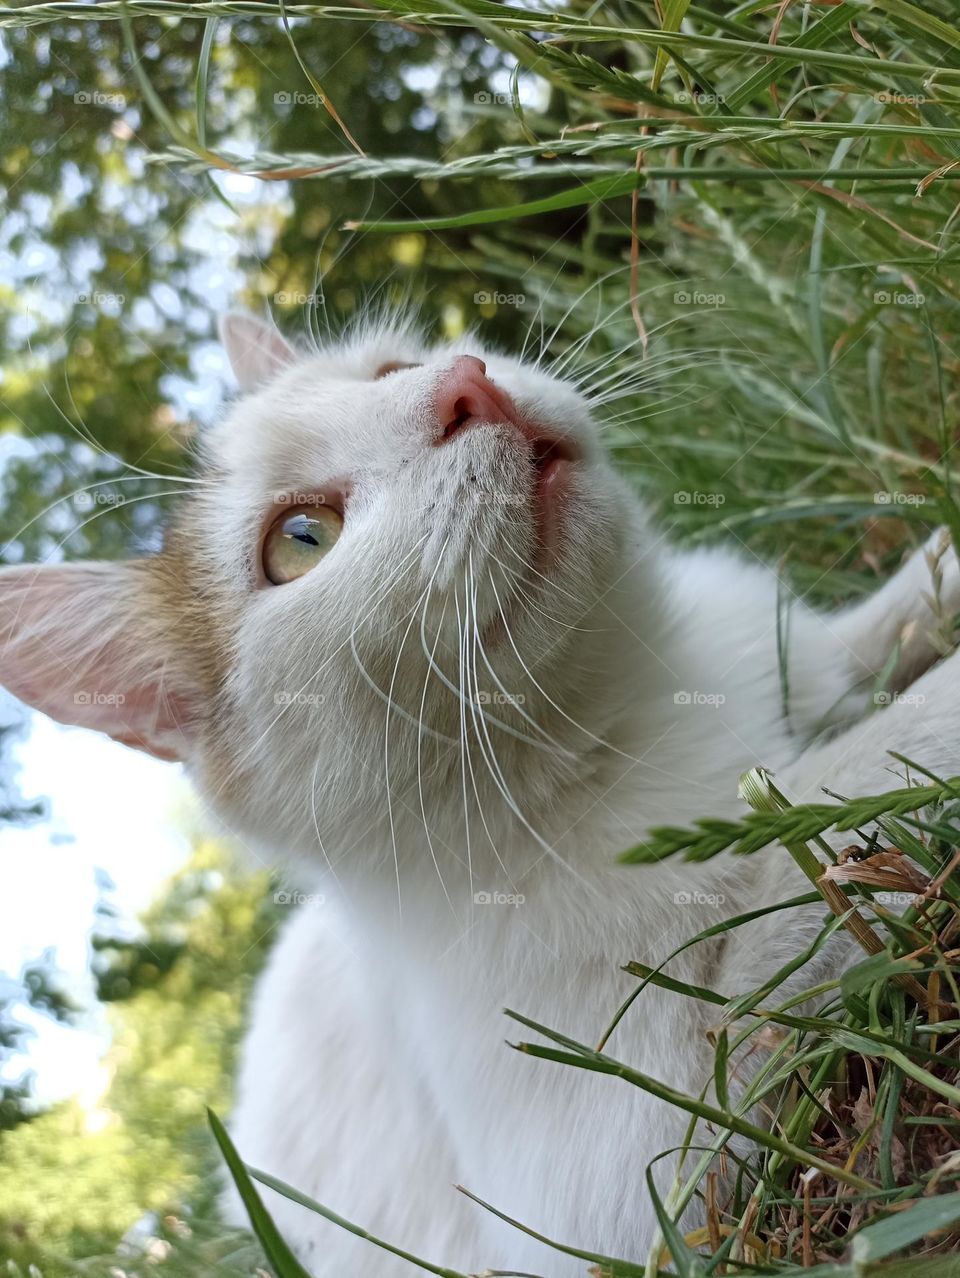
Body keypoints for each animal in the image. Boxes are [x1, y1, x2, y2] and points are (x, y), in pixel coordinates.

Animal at [1, 311, 960, 1278]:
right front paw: (926, 717)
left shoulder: (806, 658)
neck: (633, 691)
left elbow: (876, 646)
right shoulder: (623, 1177)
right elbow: (802, 881)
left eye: (390, 368)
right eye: (301, 537)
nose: (464, 387)